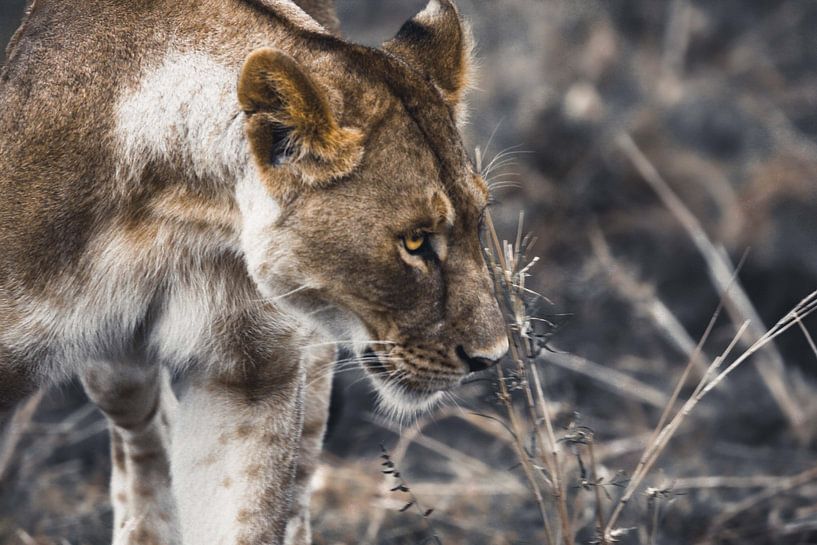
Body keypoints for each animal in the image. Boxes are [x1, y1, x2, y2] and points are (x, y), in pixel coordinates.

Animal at [0, 0, 508, 543]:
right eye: (415, 241)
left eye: (479, 221)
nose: (491, 358)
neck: (180, 213)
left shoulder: (252, 377)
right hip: (114, 374)